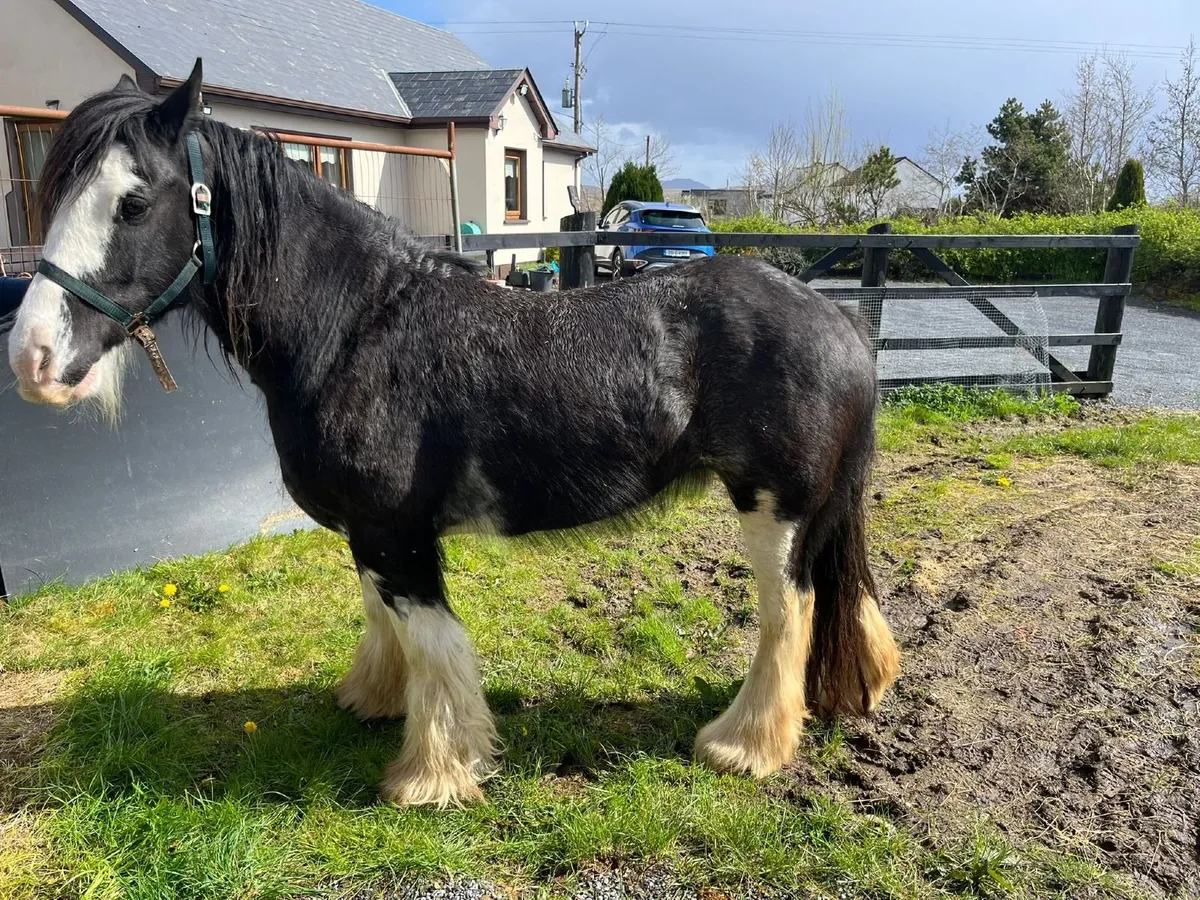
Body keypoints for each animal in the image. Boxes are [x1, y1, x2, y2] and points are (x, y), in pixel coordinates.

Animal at [7, 60, 899, 807]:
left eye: (131, 202)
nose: (33, 358)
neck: (357, 327)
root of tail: (838, 323)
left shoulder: (399, 534)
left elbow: (435, 643)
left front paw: (432, 773)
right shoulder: (369, 532)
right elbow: (383, 619)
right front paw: (371, 699)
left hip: (774, 509)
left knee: (789, 613)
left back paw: (744, 744)